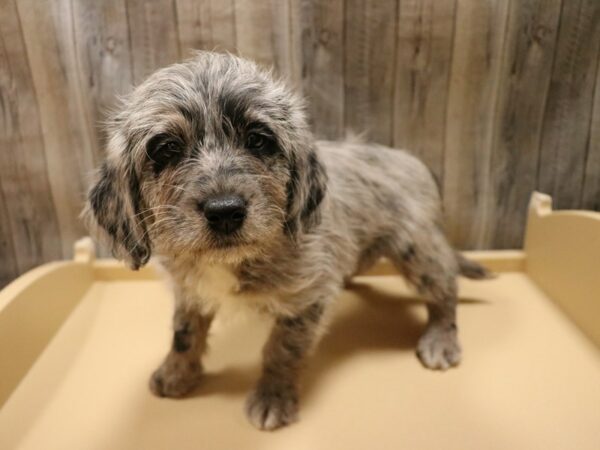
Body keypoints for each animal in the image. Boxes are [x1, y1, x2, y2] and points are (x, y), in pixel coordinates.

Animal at [83, 51, 488, 430]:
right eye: (165, 148)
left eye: (258, 140)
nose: (225, 211)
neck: (231, 262)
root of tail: (412, 161)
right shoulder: (189, 291)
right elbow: (184, 333)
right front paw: (176, 373)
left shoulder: (305, 300)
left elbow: (281, 351)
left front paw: (273, 397)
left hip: (418, 249)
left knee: (445, 288)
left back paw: (441, 338)